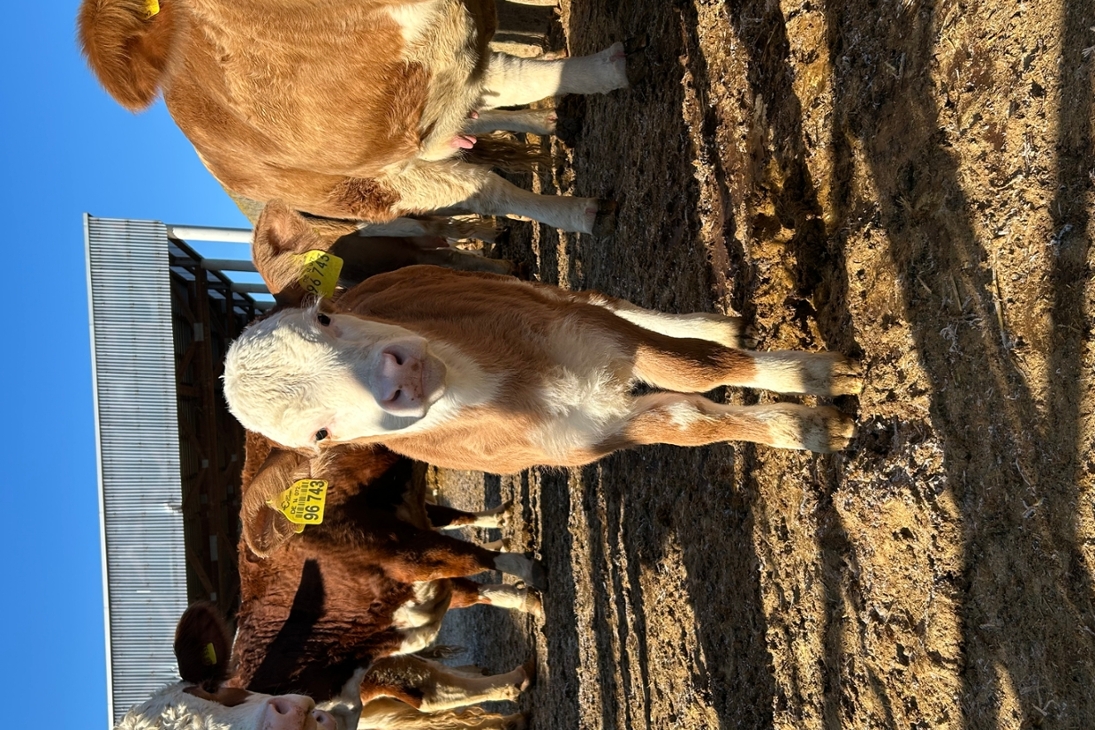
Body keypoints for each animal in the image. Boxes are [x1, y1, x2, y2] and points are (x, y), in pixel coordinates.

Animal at [77, 0, 630, 233]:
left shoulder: (451, 58)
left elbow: (518, 75)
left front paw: (602, 72)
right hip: (390, 183)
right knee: (489, 188)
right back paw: (583, 212)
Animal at [222, 204, 858, 474]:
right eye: (319, 436)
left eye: (325, 319)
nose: (399, 373)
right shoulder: (593, 436)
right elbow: (690, 421)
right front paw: (807, 426)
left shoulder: (597, 335)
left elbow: (702, 368)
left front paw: (817, 376)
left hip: (535, 293)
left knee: (605, 300)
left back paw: (714, 323)